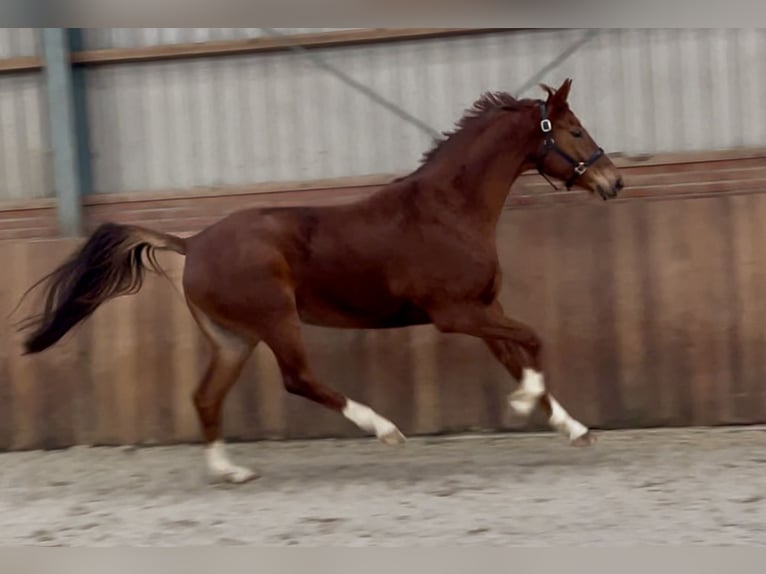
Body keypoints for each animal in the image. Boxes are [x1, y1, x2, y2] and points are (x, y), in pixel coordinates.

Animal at [18, 79, 628, 484]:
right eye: (575, 130)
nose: (613, 182)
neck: (447, 210)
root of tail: (192, 243)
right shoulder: (455, 314)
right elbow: (533, 341)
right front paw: (525, 405)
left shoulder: (484, 307)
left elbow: (518, 354)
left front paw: (572, 427)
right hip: (275, 320)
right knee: (298, 379)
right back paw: (383, 428)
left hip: (233, 338)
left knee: (206, 396)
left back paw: (230, 471)